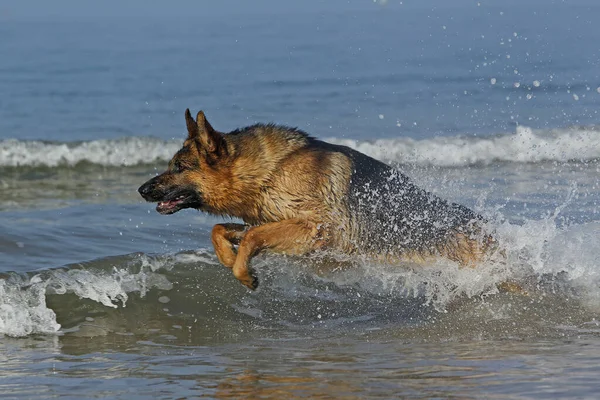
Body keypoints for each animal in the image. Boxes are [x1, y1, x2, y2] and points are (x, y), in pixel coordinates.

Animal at [138, 110, 494, 290]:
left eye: (179, 167)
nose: (141, 190)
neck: (271, 171)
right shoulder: (276, 221)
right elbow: (222, 231)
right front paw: (228, 258)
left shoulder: (318, 228)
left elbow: (252, 236)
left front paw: (245, 273)